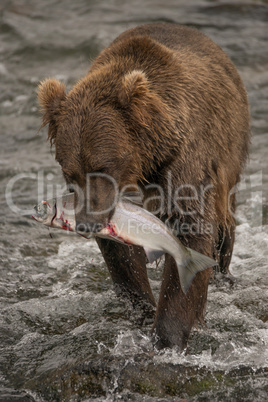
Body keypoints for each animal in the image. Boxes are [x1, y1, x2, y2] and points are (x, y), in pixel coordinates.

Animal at [37, 23, 249, 348]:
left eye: (102, 167)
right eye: (69, 172)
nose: (86, 223)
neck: (142, 162)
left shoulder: (183, 162)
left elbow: (192, 228)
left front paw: (167, 335)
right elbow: (121, 254)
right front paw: (143, 310)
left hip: (230, 153)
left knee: (224, 224)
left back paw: (222, 275)